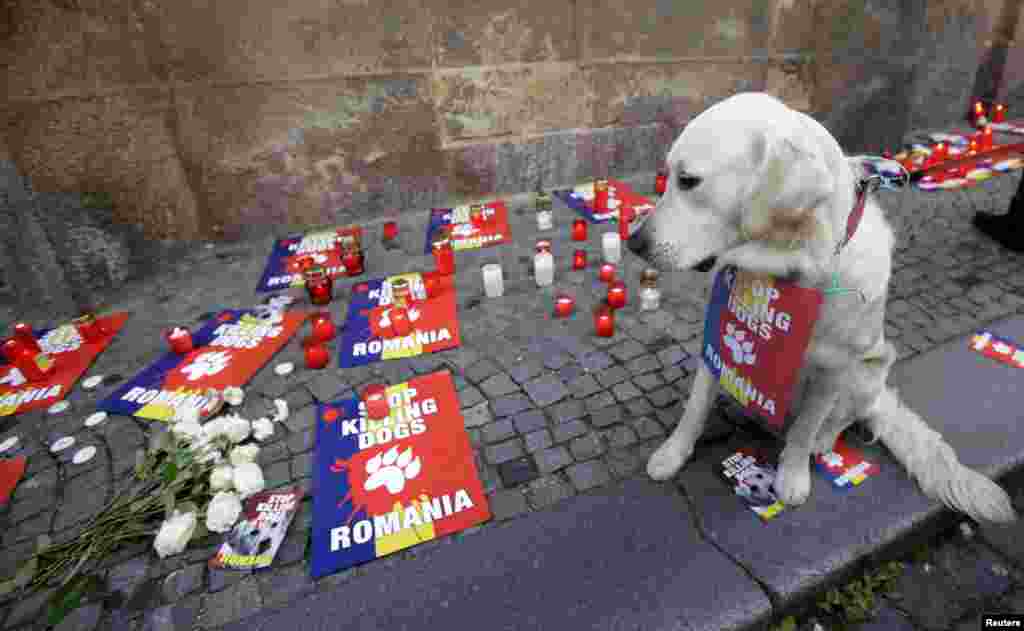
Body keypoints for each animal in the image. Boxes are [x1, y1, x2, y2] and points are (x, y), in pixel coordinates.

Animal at [626, 91, 1019, 524]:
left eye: (688, 181)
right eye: (666, 177)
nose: (633, 242)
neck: (787, 267)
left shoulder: (832, 372)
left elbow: (804, 430)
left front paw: (793, 477)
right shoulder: (717, 341)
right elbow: (695, 409)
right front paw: (672, 454)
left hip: (867, 374)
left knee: (839, 419)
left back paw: (823, 441)